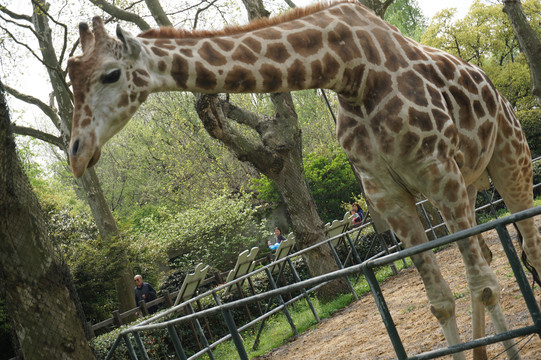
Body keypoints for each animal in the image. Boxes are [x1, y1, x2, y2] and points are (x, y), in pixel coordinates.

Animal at [68, 1, 540, 358]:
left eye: (110, 74)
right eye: (71, 82)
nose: (76, 153)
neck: (351, 71)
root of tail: (497, 91)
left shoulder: (438, 174)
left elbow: (483, 286)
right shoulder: (389, 195)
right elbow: (440, 301)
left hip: (508, 160)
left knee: (526, 242)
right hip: (467, 182)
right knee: (492, 253)